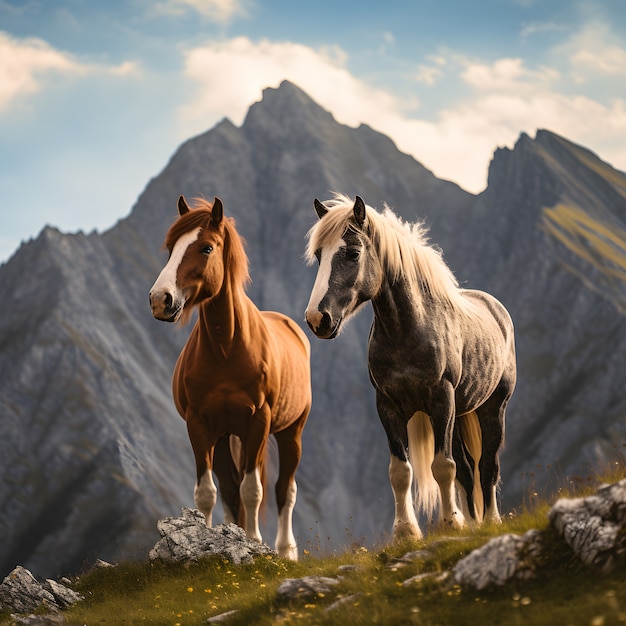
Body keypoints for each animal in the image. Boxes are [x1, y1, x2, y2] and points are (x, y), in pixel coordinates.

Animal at [149, 194, 310, 556]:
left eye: (206, 248)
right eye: (171, 248)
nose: (159, 299)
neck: (227, 348)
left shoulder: (259, 421)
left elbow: (254, 489)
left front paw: (253, 541)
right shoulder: (200, 424)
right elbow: (209, 491)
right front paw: (207, 540)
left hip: (290, 432)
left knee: (284, 490)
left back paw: (285, 550)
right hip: (225, 436)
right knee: (230, 488)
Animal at [302, 194, 512, 536]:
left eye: (353, 253)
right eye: (320, 256)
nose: (317, 319)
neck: (408, 330)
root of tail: (496, 309)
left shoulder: (442, 400)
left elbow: (443, 466)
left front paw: (451, 523)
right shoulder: (387, 406)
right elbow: (401, 471)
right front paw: (406, 531)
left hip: (492, 408)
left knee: (488, 466)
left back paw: (491, 520)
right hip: (459, 414)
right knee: (468, 472)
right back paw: (473, 522)